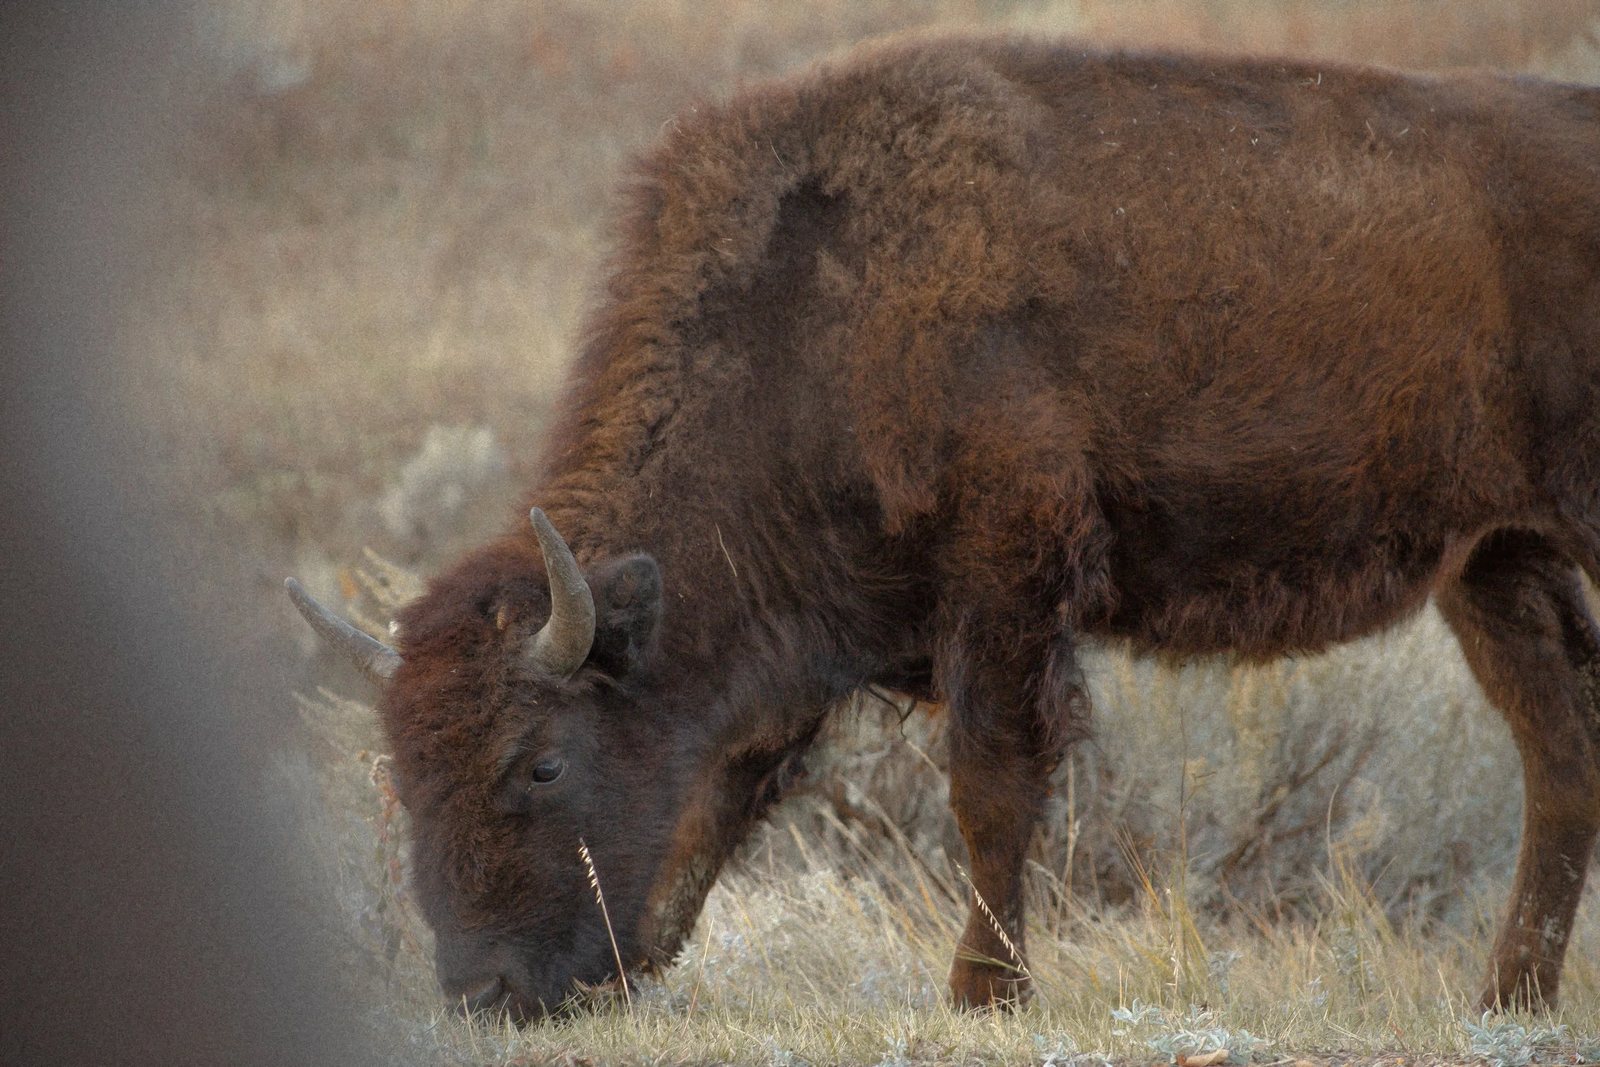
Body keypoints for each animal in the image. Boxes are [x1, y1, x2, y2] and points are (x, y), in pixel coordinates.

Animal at [289, 36, 1600, 1018]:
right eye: (401, 770)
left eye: (543, 759)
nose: (485, 992)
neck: (814, 311)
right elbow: (715, 800)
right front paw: (648, 959)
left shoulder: (1008, 578)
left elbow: (988, 787)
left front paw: (982, 991)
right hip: (1495, 561)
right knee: (1561, 748)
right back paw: (1505, 998)